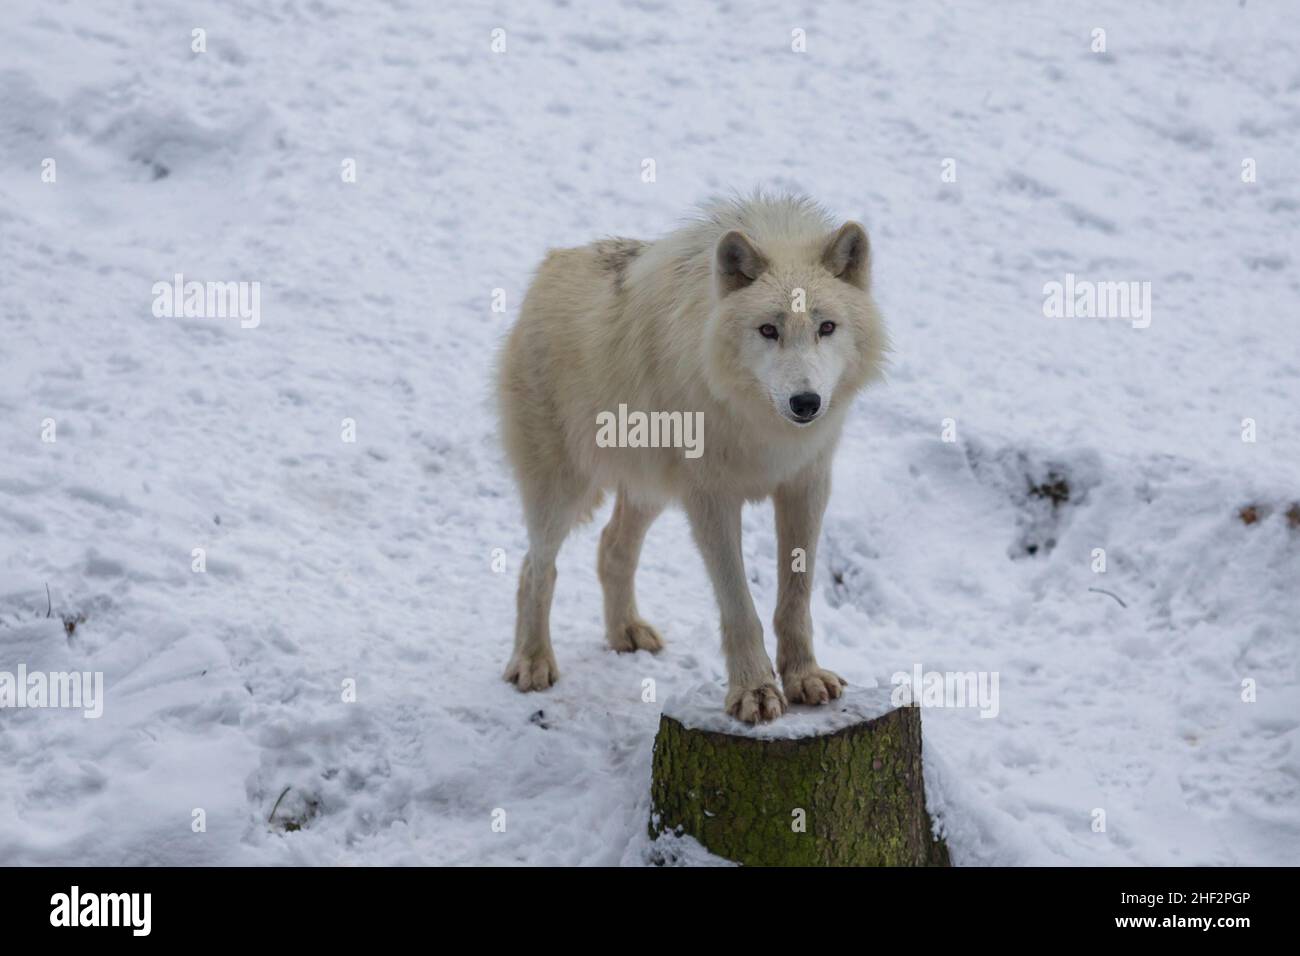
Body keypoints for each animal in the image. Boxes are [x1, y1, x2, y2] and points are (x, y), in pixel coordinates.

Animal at [493, 191, 883, 723]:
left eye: (827, 327)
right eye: (768, 330)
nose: (806, 402)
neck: (759, 426)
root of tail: (552, 263)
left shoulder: (806, 484)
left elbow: (795, 599)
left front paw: (804, 677)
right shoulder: (710, 499)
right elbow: (739, 607)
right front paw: (755, 691)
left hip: (651, 487)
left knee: (611, 547)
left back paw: (626, 632)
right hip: (563, 490)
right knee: (536, 567)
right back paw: (532, 662)